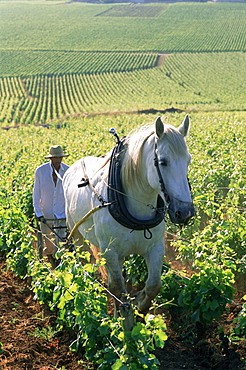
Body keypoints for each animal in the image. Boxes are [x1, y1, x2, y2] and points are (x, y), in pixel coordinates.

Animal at [62, 116, 195, 320]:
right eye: (163, 162)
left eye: (188, 161)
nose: (185, 212)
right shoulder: (109, 250)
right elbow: (117, 287)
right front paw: (123, 317)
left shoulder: (155, 247)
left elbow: (153, 285)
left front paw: (140, 306)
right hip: (77, 235)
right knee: (85, 263)